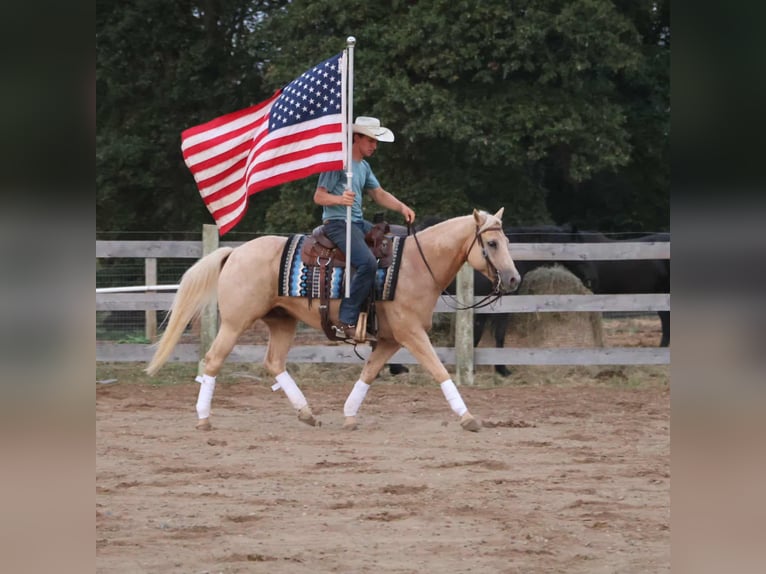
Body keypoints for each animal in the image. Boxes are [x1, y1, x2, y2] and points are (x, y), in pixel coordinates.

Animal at [145, 209, 521, 433]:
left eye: (506, 241)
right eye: (491, 242)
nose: (514, 279)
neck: (415, 264)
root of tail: (235, 252)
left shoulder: (390, 339)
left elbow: (368, 373)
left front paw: (350, 414)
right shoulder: (410, 333)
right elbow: (440, 370)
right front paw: (468, 417)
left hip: (282, 321)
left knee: (274, 362)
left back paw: (307, 413)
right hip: (235, 323)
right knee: (212, 360)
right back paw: (203, 419)